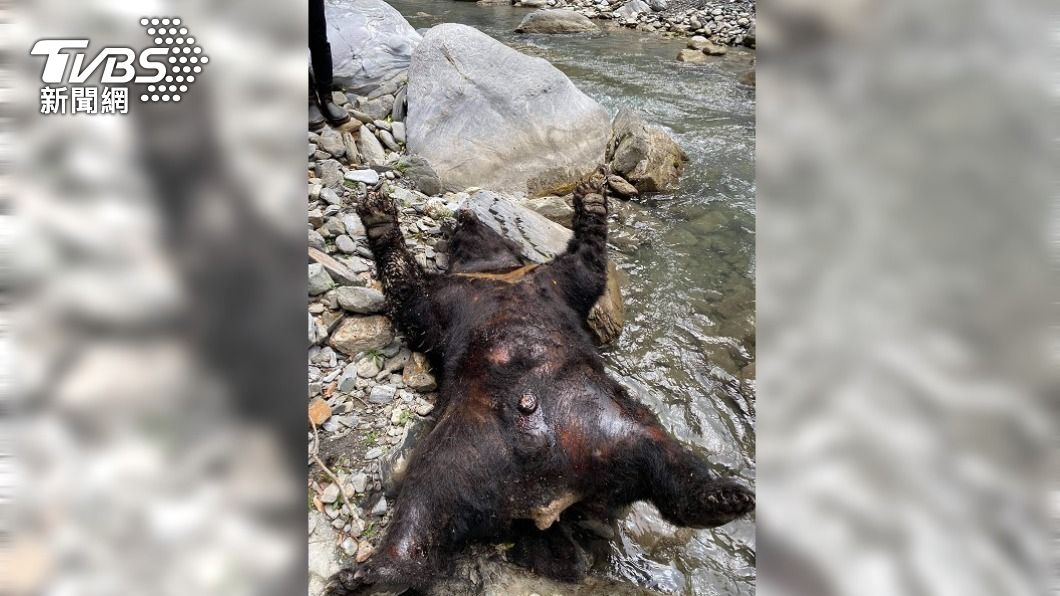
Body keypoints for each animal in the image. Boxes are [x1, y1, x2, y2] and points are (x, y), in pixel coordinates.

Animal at [326, 169, 754, 595]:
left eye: (469, 224)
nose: (463, 212)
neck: (497, 272)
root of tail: (547, 492)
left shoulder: (547, 279)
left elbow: (586, 266)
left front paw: (592, 196)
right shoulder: (450, 298)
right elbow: (412, 301)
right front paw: (380, 214)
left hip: (607, 423)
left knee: (665, 456)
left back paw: (721, 498)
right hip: (466, 447)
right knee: (423, 501)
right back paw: (374, 574)